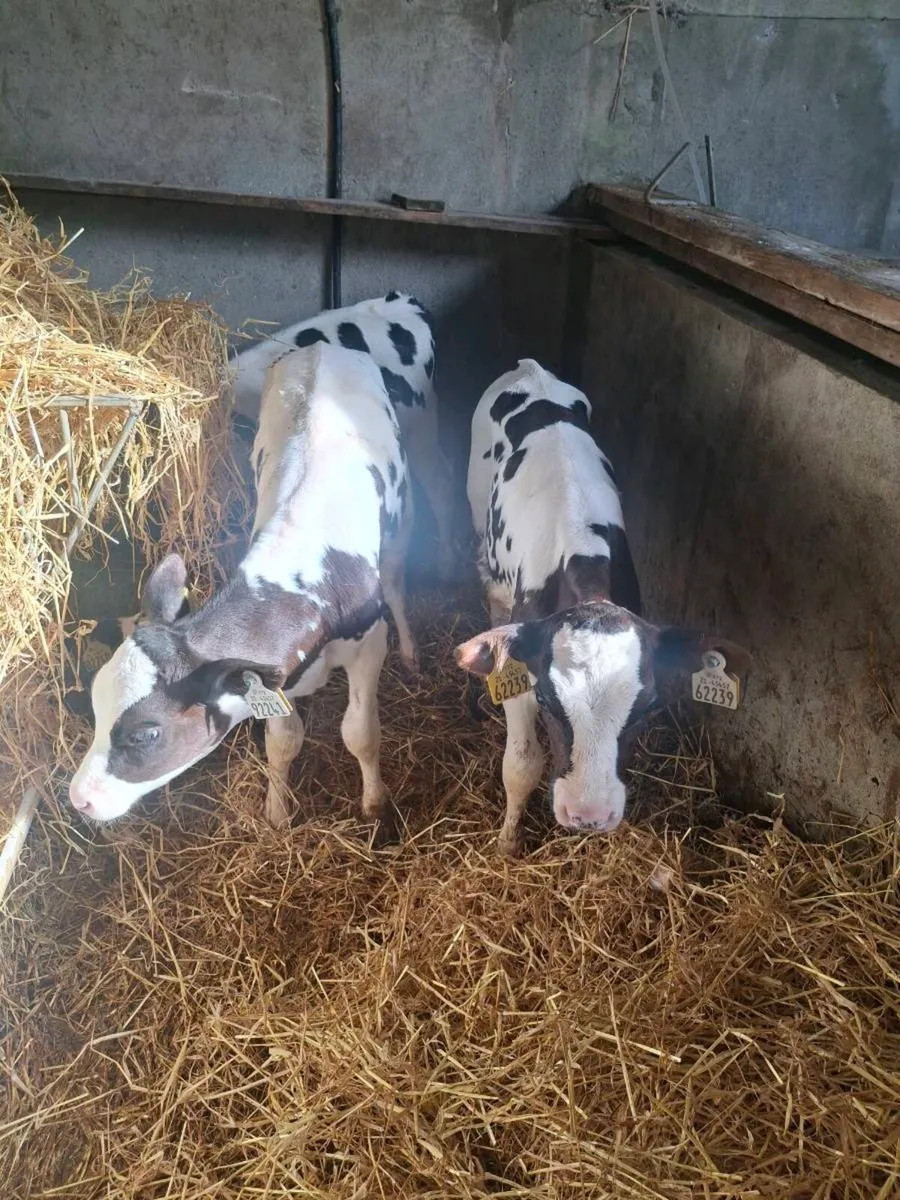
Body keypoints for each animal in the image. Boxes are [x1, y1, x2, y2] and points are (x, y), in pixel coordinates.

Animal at [69, 342, 416, 830]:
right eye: (96, 708)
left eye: (146, 733)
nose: (78, 799)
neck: (298, 581)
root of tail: (320, 346)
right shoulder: (278, 675)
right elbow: (283, 741)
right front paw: (278, 812)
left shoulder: (368, 646)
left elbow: (360, 733)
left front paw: (375, 806)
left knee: (399, 579)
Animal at [456, 359, 750, 856]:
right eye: (546, 699)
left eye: (648, 707)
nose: (587, 815)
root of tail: (530, 368)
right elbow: (522, 763)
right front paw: (508, 842)